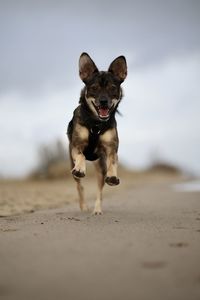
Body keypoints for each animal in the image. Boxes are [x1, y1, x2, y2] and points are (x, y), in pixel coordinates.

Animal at [67, 52, 126, 214]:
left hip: (100, 167)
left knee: (100, 190)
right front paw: (80, 168)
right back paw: (83, 206)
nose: (103, 101)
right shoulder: (76, 146)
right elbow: (80, 156)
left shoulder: (111, 148)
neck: (96, 123)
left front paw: (113, 177)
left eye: (112, 88)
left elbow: (113, 162)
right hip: (71, 163)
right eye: (94, 88)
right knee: (79, 185)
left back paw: (97, 209)